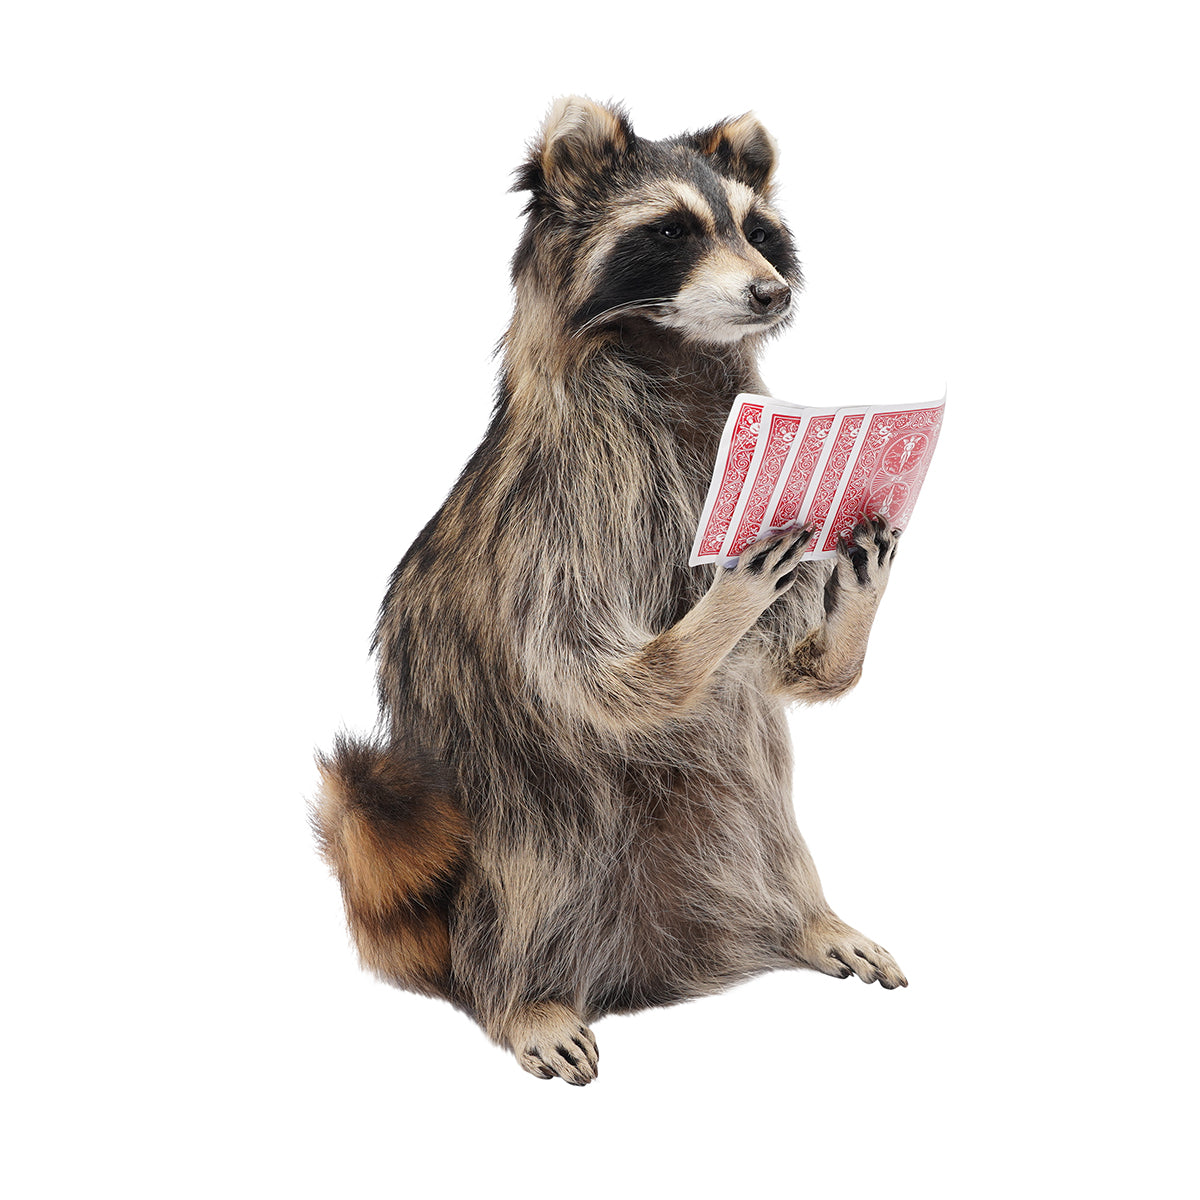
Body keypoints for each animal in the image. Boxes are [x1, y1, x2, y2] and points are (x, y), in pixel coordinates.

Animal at [314, 97, 907, 1086]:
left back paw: (802, 916)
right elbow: (587, 667)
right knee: (531, 874)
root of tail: (648, 969)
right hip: (511, 811)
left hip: (732, 819)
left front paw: (852, 598)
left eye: (757, 231)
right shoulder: (563, 502)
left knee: (765, 826)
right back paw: (522, 992)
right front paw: (717, 613)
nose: (770, 293)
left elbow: (794, 670)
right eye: (671, 231)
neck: (673, 352)